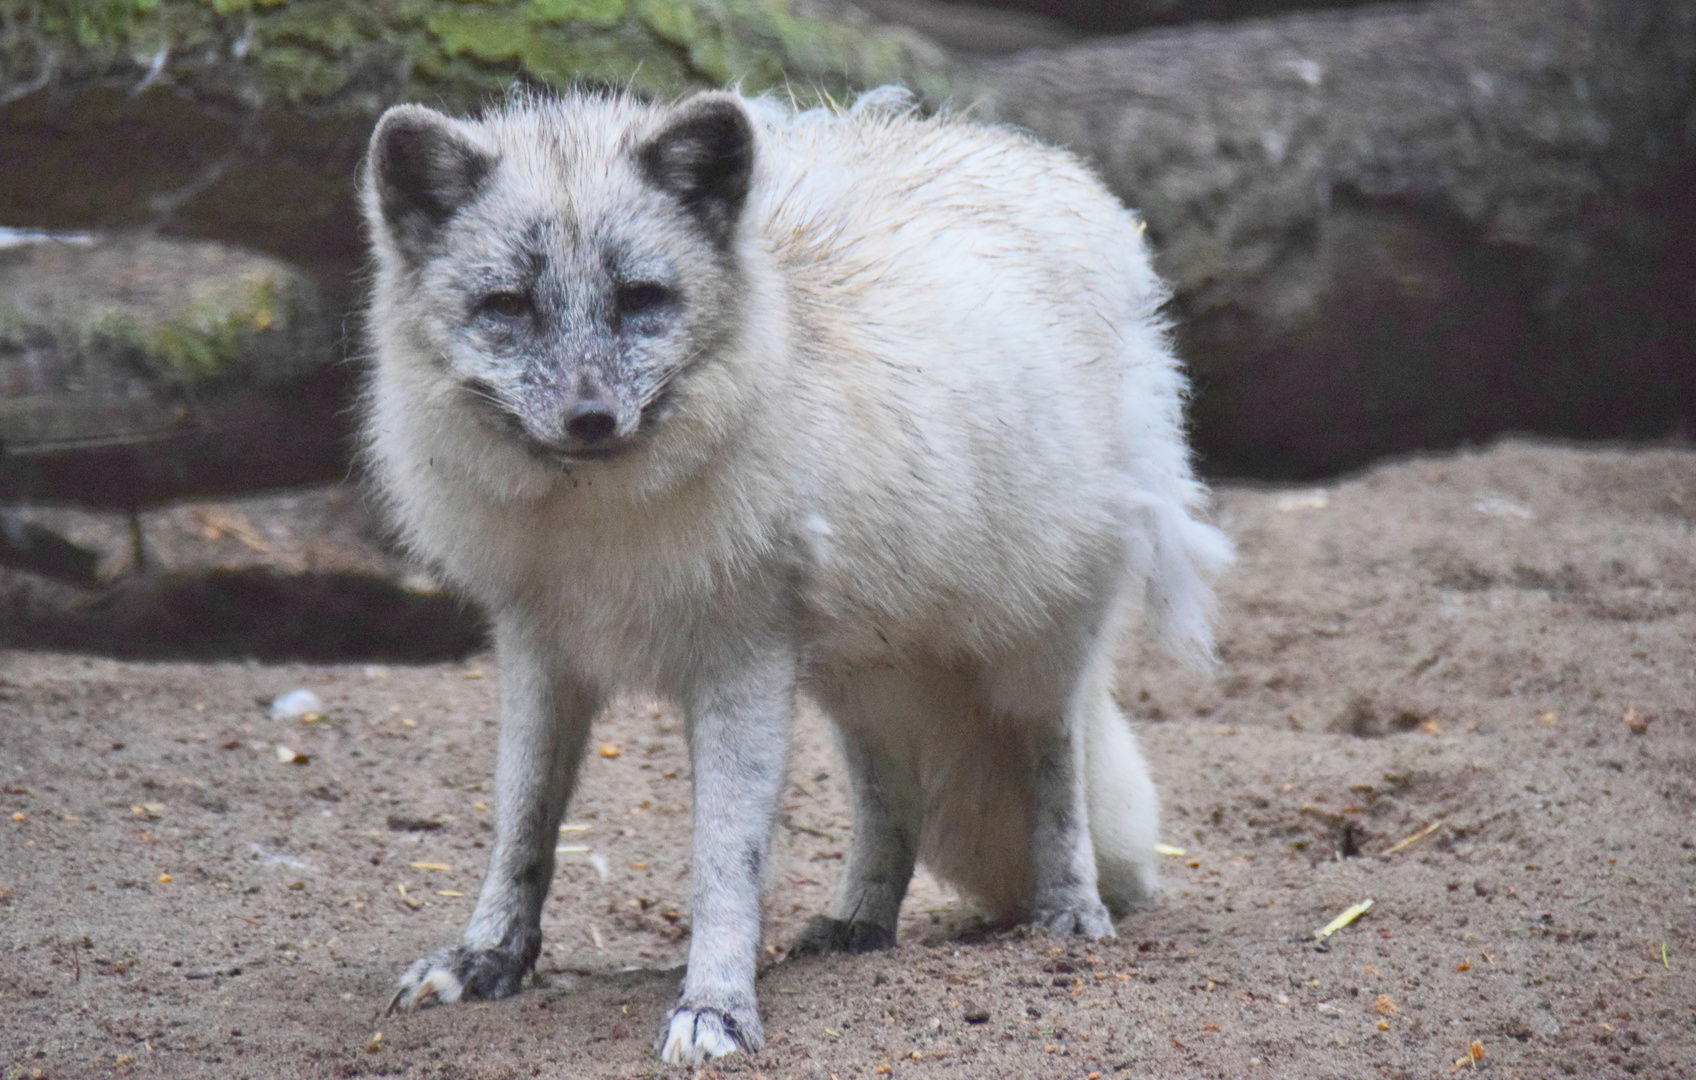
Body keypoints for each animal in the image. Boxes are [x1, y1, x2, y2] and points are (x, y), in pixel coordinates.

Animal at [361, 84, 1234, 1064]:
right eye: (507, 306)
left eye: (641, 299)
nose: (590, 419)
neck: (592, 526)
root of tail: (1044, 161)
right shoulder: (540, 650)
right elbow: (521, 828)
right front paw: (487, 958)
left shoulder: (741, 662)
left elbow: (723, 862)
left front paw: (715, 1006)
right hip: (864, 674)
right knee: (892, 796)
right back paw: (860, 925)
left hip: (1034, 648)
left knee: (1055, 761)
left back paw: (1068, 911)